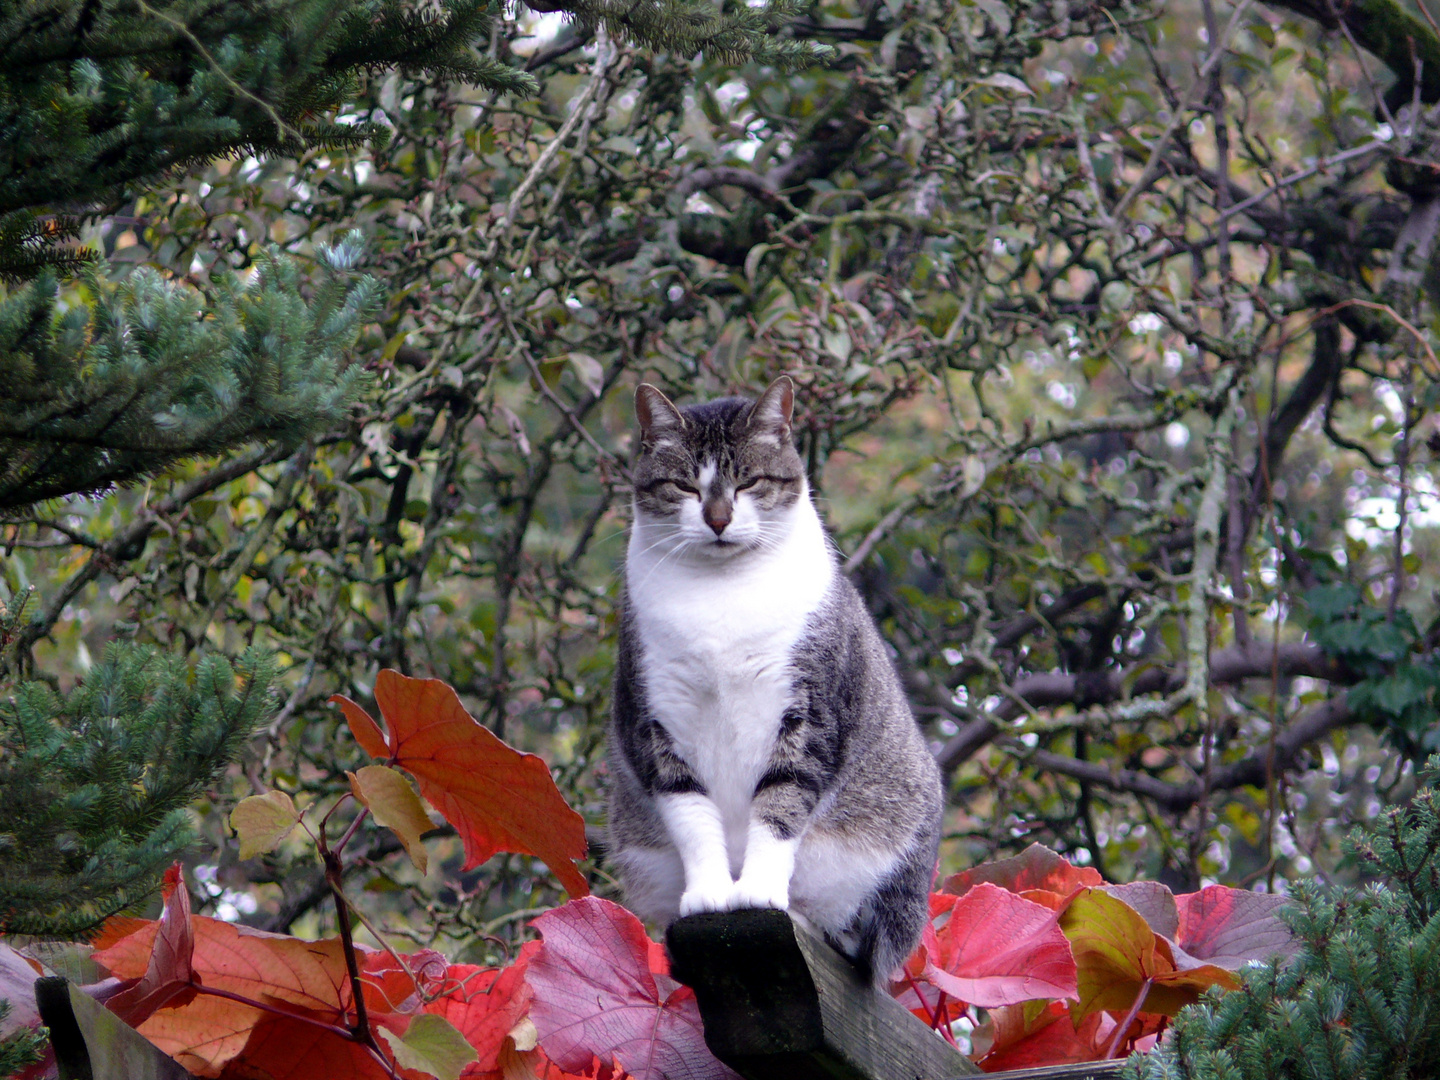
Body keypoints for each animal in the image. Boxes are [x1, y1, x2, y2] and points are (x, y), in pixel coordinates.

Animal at [604, 374, 944, 990]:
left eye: (749, 481)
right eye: (684, 485)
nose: (717, 519)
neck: (720, 593)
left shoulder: (809, 714)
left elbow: (781, 806)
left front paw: (758, 891)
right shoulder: (654, 718)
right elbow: (691, 814)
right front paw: (711, 893)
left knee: (864, 943)